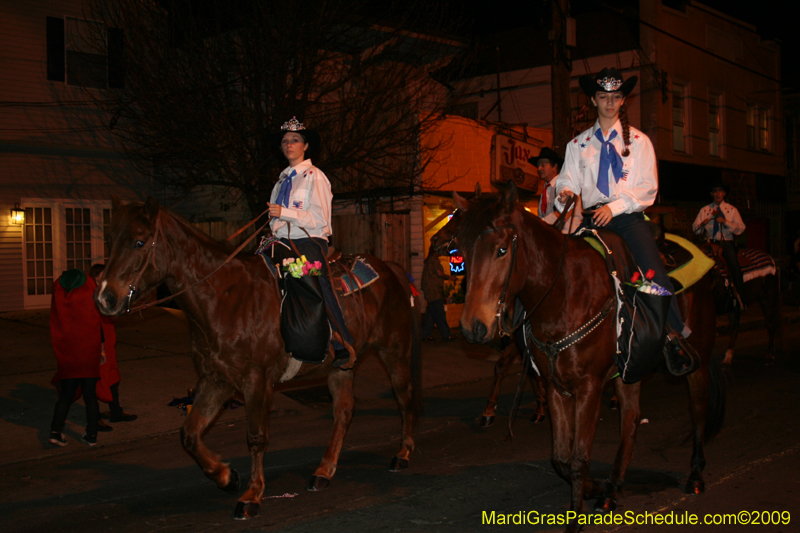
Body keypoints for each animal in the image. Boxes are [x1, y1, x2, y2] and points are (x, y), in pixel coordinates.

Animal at [94, 196, 422, 520]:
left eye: (139, 242)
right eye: (110, 239)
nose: (104, 299)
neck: (225, 297)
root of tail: (390, 268)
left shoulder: (256, 382)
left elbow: (256, 437)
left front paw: (251, 495)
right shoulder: (216, 381)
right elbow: (189, 434)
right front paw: (227, 477)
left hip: (394, 351)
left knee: (404, 397)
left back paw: (403, 453)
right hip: (341, 368)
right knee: (343, 411)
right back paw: (324, 471)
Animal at [450, 184, 724, 532]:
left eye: (501, 250)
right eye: (461, 251)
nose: (473, 327)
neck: (565, 295)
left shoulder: (589, 387)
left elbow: (579, 458)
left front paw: (576, 518)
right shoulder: (556, 386)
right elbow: (560, 458)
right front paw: (596, 487)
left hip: (697, 356)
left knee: (698, 410)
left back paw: (696, 475)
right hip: (630, 369)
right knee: (631, 420)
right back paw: (613, 489)